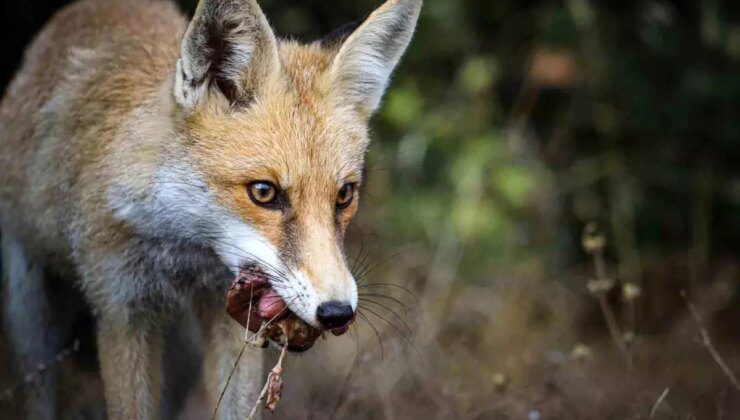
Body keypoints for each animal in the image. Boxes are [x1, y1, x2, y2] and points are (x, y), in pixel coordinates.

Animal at [0, 0, 422, 416]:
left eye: (344, 195)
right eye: (264, 192)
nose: (337, 312)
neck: (183, 253)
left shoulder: (230, 316)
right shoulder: (121, 312)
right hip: (33, 320)